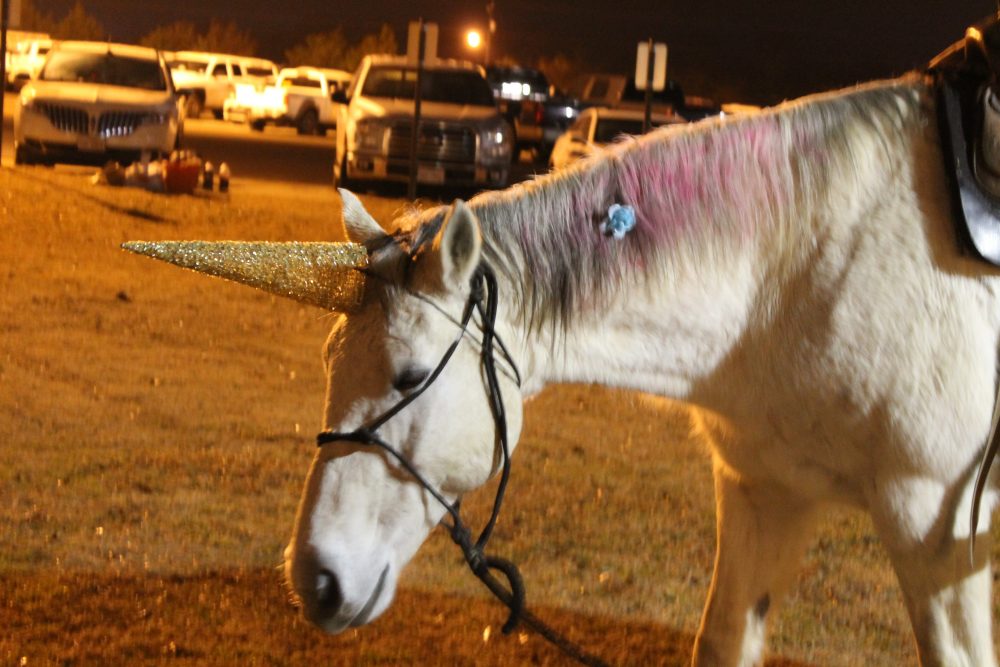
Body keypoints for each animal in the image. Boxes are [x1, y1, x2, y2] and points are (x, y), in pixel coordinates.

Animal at [129, 70, 1000, 664]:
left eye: (409, 376)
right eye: (330, 362)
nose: (317, 580)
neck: (803, 266)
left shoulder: (933, 528)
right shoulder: (767, 494)